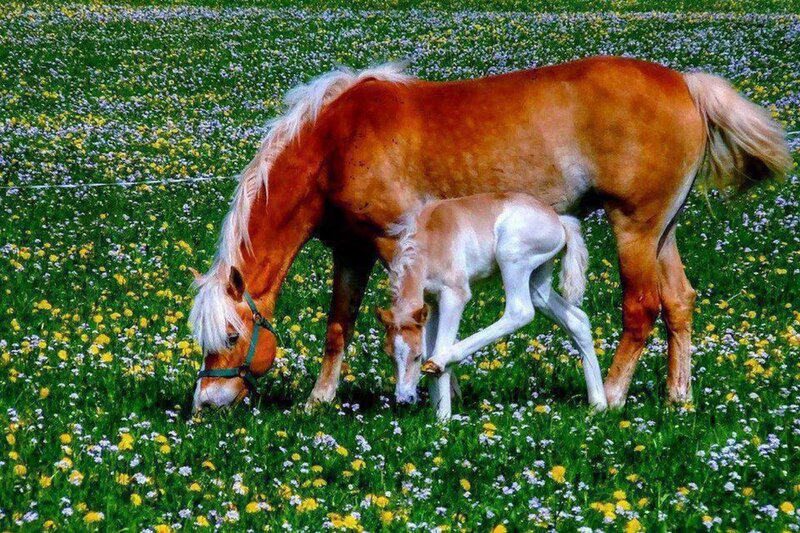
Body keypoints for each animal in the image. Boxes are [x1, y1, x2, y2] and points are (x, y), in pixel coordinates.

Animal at [375, 192, 607, 420]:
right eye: (389, 356)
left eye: (415, 357)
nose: (404, 399)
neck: (430, 238)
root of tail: (559, 220)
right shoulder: (431, 302)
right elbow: (429, 348)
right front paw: (437, 414)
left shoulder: (454, 295)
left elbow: (437, 348)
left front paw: (443, 421)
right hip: (538, 280)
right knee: (577, 320)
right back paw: (599, 403)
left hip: (512, 258)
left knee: (520, 312)